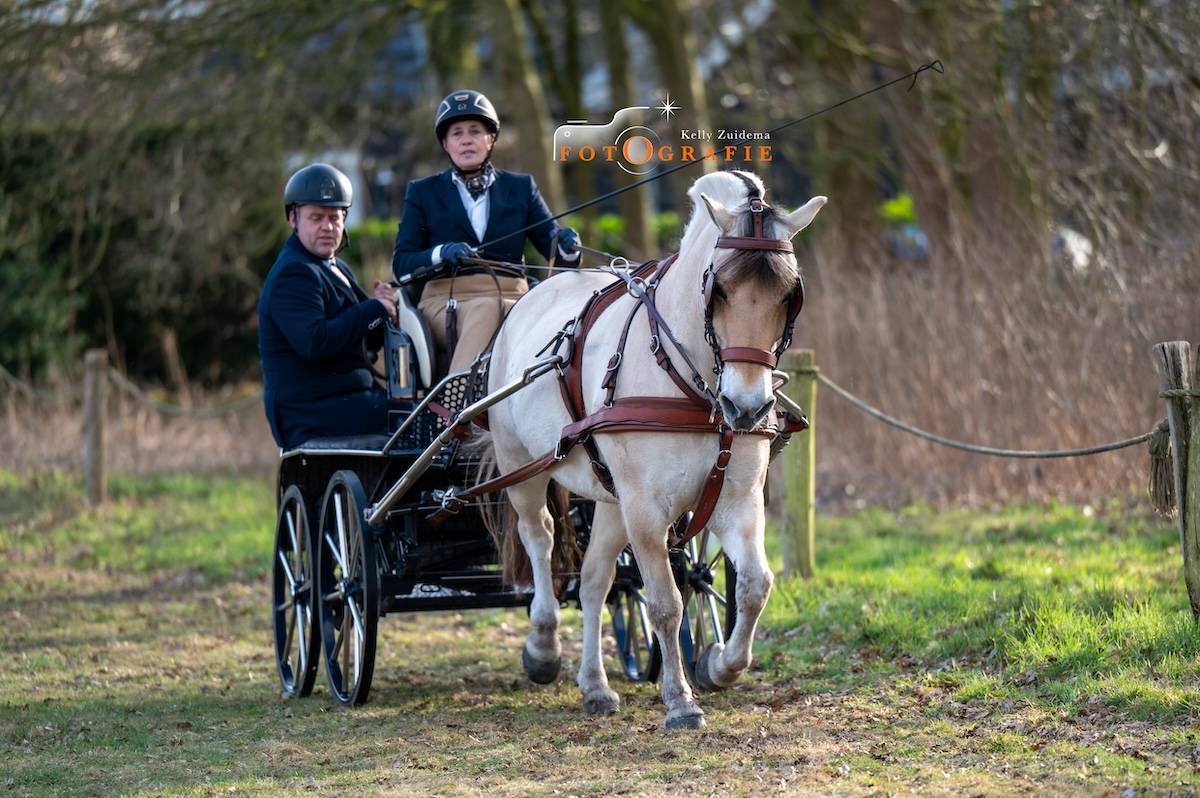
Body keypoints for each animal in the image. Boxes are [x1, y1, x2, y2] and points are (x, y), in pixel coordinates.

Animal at [477, 169, 825, 729]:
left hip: (608, 496)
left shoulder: (737, 501)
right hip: (522, 469)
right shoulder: (645, 509)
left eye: (790, 294)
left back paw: (595, 686)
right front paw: (680, 701)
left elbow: (755, 585)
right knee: (540, 539)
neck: (693, 386)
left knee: (595, 581)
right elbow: (665, 602)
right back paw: (543, 647)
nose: (747, 407)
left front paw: (719, 664)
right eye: (718, 289)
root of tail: (533, 292)